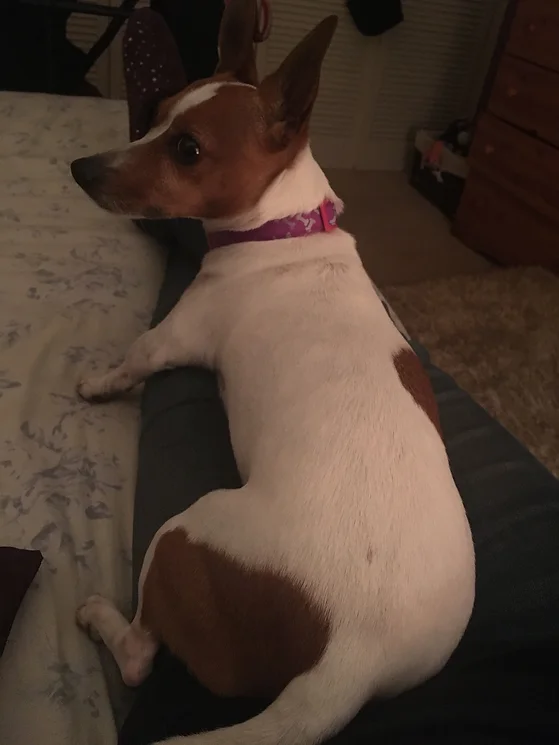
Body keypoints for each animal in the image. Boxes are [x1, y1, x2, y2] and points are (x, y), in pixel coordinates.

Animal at [71, 2, 475, 744]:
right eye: (157, 112)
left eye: (187, 149)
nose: (82, 168)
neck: (284, 229)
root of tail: (348, 663)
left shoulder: (174, 335)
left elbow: (131, 359)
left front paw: (96, 383)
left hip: (182, 533)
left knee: (141, 653)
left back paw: (101, 618)